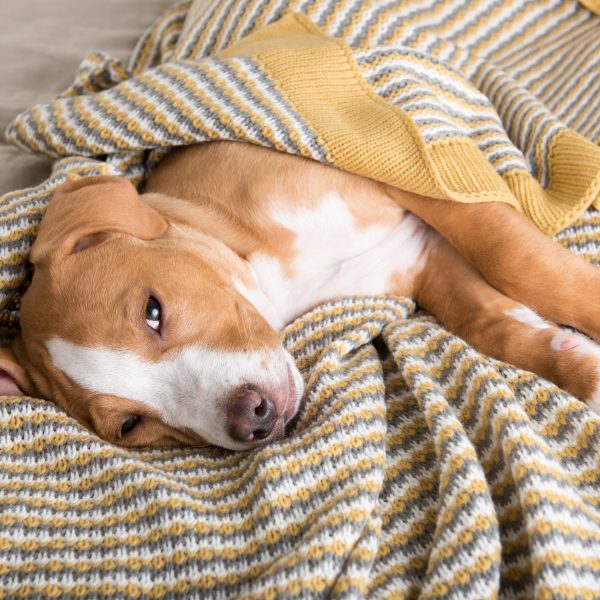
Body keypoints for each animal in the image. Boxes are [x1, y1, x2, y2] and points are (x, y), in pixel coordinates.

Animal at [1, 142, 600, 450]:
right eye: (130, 426)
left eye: (153, 311)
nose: (253, 419)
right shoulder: (422, 256)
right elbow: (490, 321)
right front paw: (579, 369)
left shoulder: (422, 179)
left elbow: (518, 261)